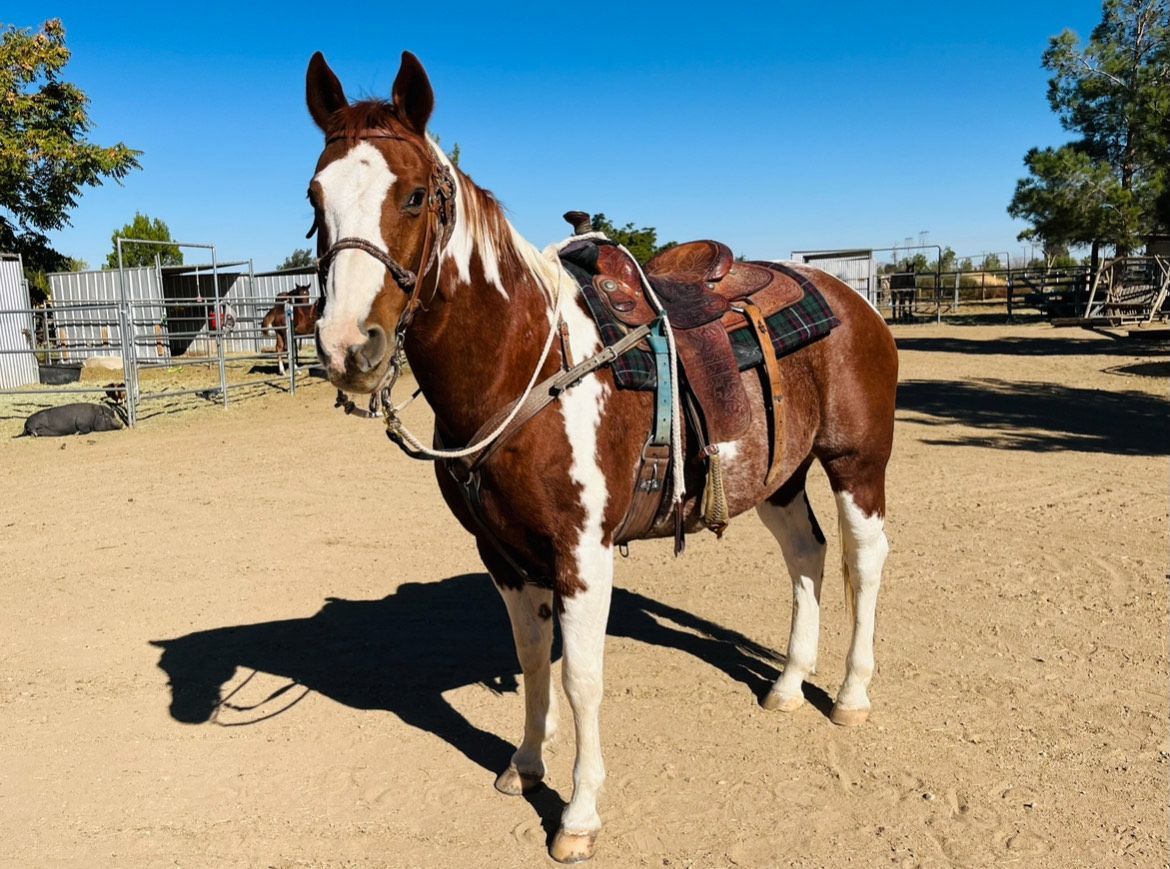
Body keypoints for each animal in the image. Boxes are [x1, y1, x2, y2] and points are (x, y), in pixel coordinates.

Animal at [304, 51, 897, 863]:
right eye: (314, 198)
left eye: (417, 196)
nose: (346, 347)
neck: (527, 360)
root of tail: (849, 293)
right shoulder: (503, 553)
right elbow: (532, 657)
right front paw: (525, 764)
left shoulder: (582, 551)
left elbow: (581, 677)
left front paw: (579, 813)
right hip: (778, 475)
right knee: (805, 554)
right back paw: (785, 684)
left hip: (856, 462)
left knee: (861, 563)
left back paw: (849, 694)